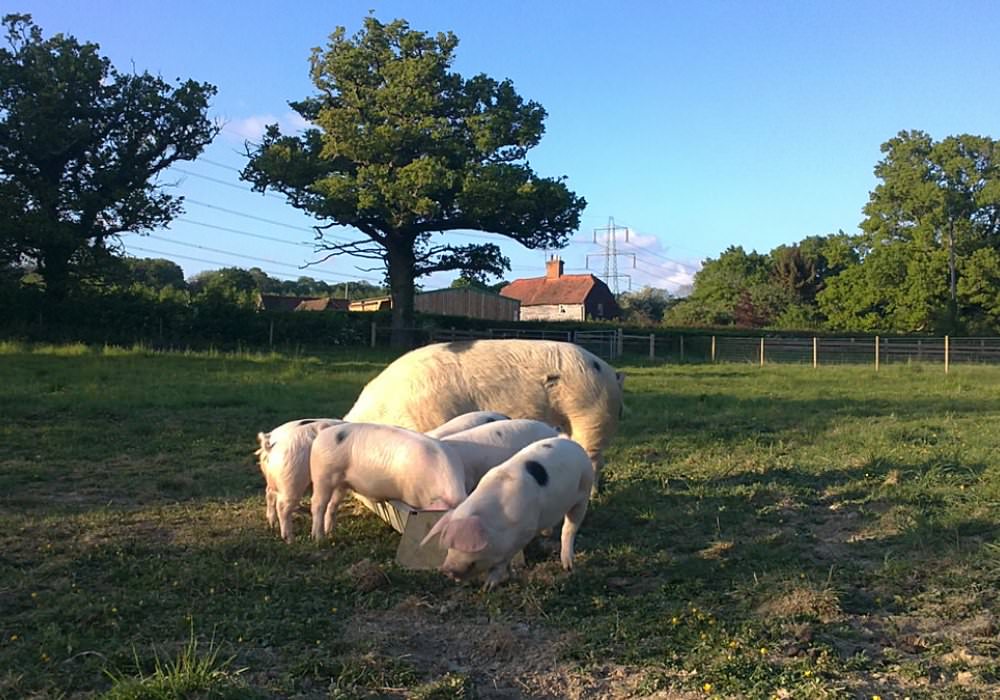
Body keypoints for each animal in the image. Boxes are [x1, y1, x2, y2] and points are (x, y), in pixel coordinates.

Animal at [310, 422, 466, 540]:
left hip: (342, 483)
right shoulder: (412, 496)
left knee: (333, 504)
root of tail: (323, 432)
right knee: (318, 504)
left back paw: (330, 532)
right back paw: (319, 538)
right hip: (322, 476)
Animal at [418, 438, 588, 592]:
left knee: (569, 529)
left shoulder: (525, 532)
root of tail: (575, 445)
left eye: (462, 544)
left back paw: (568, 566)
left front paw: (487, 587)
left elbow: (503, 562)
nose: (445, 569)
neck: (498, 524)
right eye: (448, 547)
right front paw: (511, 576)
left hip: (584, 492)